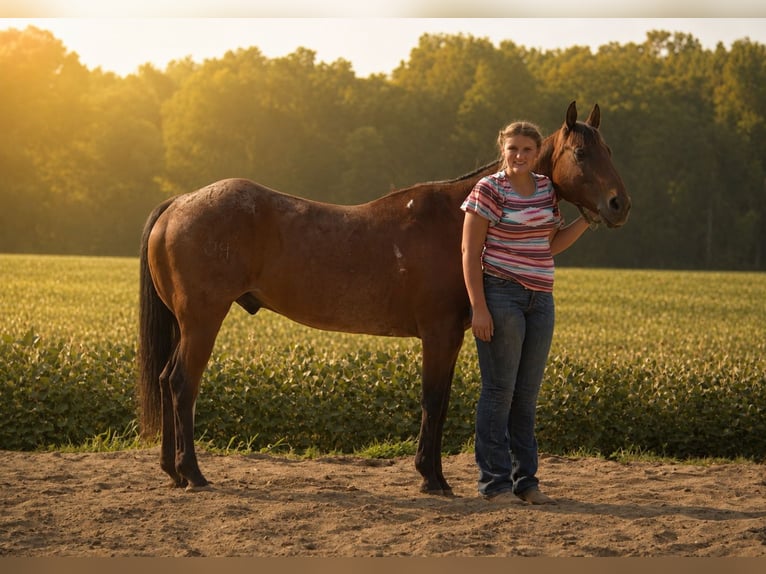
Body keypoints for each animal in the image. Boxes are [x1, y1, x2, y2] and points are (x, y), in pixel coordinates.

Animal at [137, 101, 631, 495]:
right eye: (582, 153)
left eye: (609, 151)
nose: (618, 205)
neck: (456, 221)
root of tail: (180, 203)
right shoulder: (439, 334)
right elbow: (434, 401)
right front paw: (433, 479)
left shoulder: (449, 337)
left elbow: (440, 403)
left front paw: (431, 474)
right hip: (203, 320)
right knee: (182, 383)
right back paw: (192, 473)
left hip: (187, 324)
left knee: (164, 379)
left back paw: (172, 471)